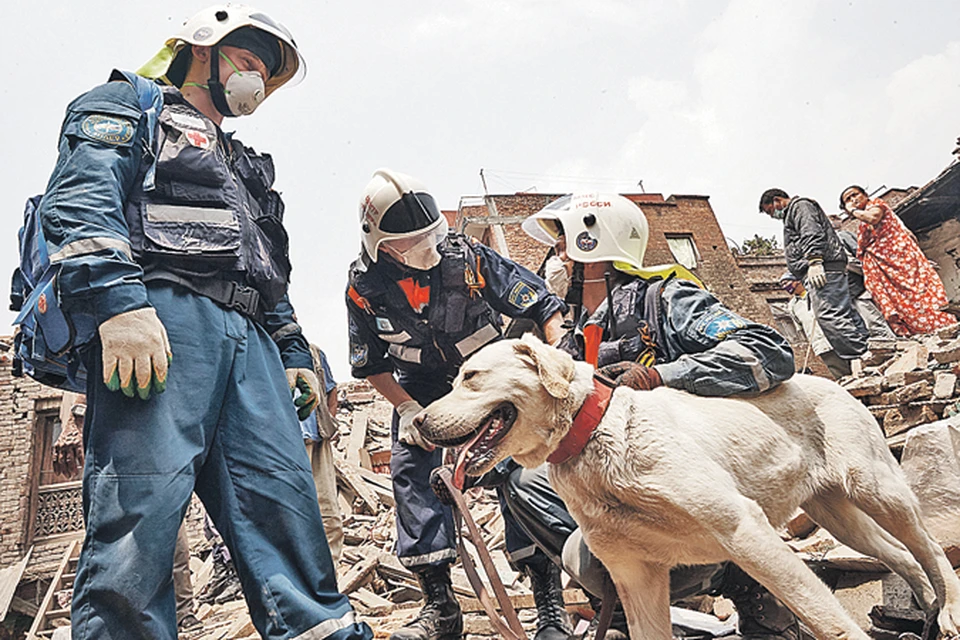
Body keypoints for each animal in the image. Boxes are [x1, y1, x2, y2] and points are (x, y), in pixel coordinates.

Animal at [416, 336, 960, 640]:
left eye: (470, 376)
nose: (417, 424)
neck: (592, 439)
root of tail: (832, 383)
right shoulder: (635, 577)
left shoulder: (745, 530)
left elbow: (825, 616)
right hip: (838, 516)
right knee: (903, 556)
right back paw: (923, 613)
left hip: (877, 489)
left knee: (930, 547)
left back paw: (949, 610)